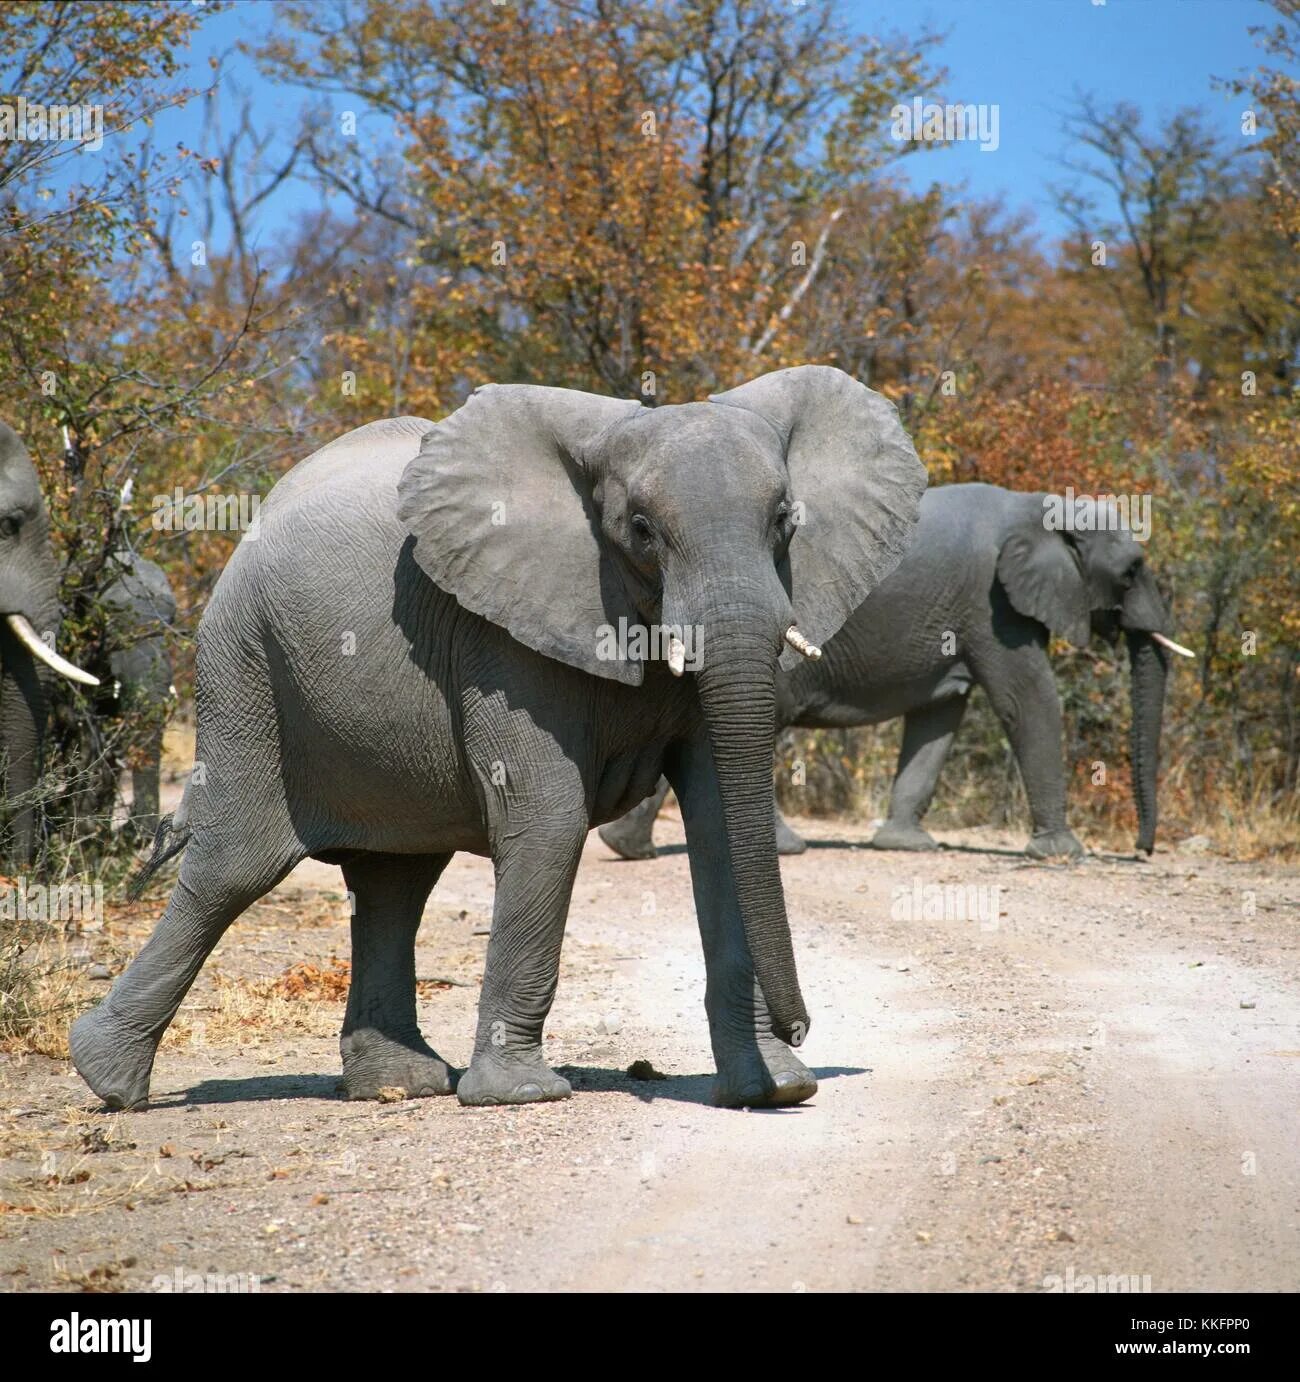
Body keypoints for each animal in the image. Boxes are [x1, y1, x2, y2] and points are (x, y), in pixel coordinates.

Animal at [71, 367, 928, 1111]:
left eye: (785, 522)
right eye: (641, 529)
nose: (803, 1027)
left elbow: (722, 822)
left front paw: (771, 1089)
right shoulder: (501, 637)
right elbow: (547, 817)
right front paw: (521, 1094)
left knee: (395, 883)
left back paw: (400, 1085)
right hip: (243, 661)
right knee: (233, 867)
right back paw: (107, 1081)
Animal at [596, 480, 1188, 856]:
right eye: (1132, 572)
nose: (1143, 851)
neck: (1046, 506)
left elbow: (940, 715)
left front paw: (905, 845)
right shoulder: (993, 604)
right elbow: (1027, 698)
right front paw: (1064, 854)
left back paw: (626, 848)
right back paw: (787, 849)